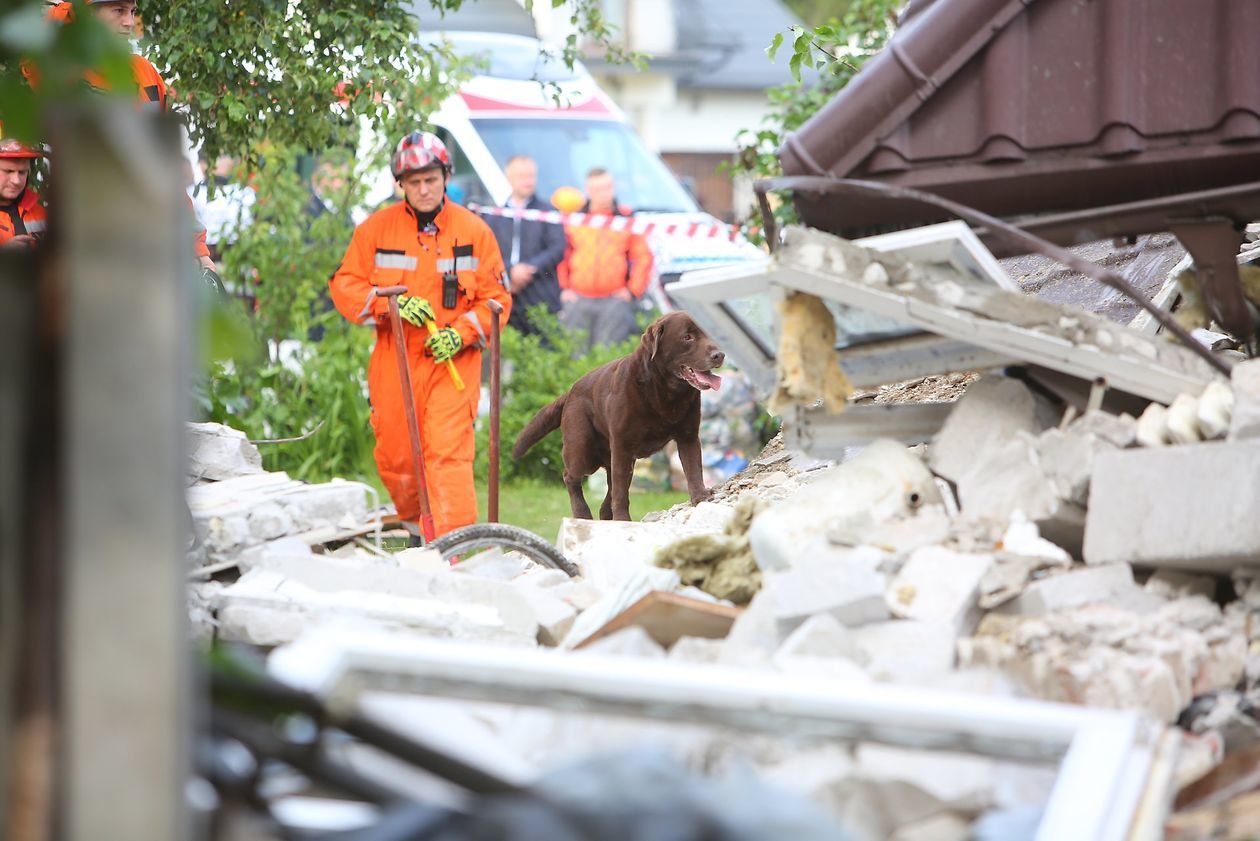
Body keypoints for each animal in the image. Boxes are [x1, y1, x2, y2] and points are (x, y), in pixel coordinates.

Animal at [514, 311, 730, 519]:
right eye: (687, 337)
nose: (719, 355)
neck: (664, 391)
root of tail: (571, 391)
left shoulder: (688, 436)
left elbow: (693, 469)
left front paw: (700, 497)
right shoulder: (622, 444)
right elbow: (620, 492)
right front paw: (623, 520)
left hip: (619, 458)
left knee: (609, 492)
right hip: (583, 450)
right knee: (571, 476)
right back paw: (582, 514)